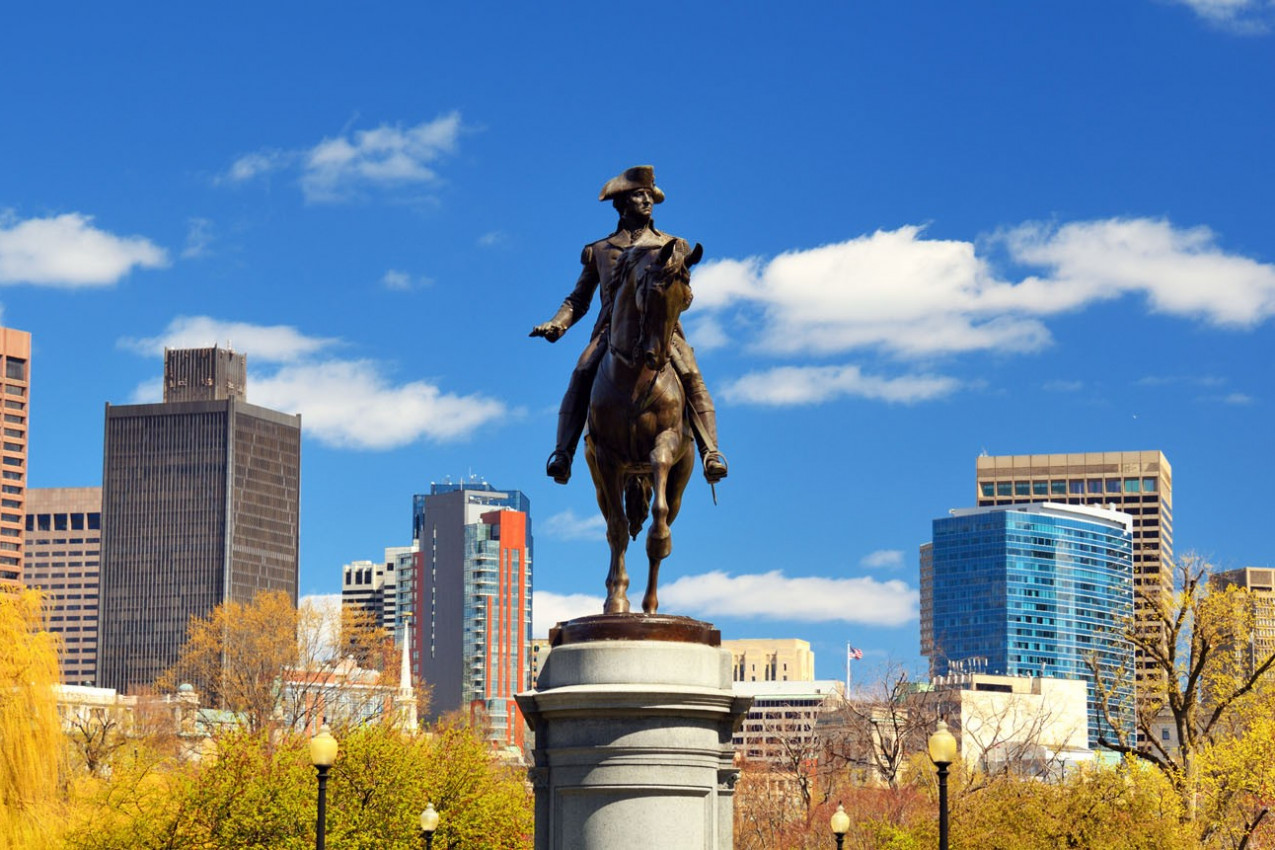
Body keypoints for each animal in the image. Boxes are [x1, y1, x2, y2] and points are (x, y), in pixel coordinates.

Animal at [583, 235, 703, 614]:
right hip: (600, 482)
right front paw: (616, 600)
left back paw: (650, 606)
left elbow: (658, 517)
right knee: (612, 522)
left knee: (666, 509)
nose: (659, 358)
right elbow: (618, 528)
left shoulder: (666, 442)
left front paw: (659, 538)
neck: (634, 377)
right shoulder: (607, 457)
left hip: (682, 476)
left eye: (687, 299)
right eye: (653, 292)